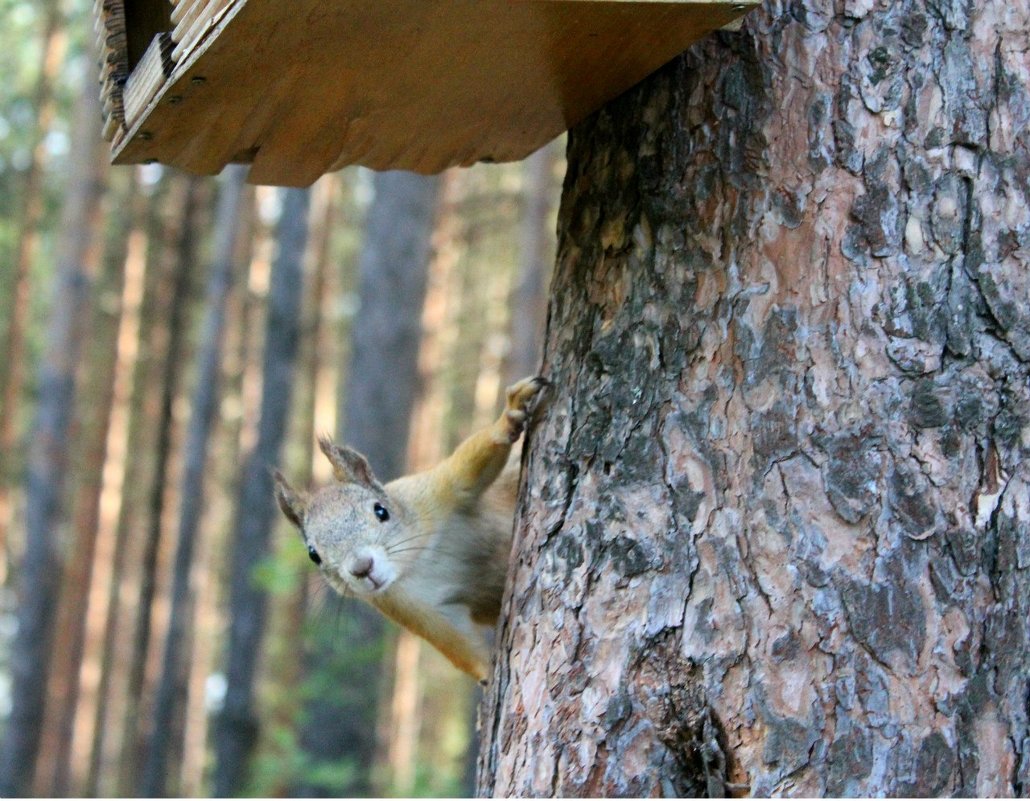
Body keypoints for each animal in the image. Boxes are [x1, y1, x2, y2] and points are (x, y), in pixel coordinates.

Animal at [271, 374, 547, 679]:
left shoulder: (434, 494)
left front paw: (508, 417)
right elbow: (458, 644)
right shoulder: (409, 607)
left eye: (381, 511)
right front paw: (487, 675)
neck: (414, 563)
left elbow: (473, 461)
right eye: (313, 555)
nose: (362, 568)